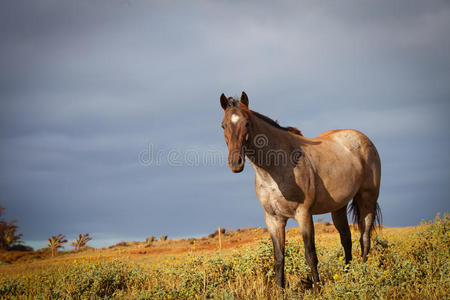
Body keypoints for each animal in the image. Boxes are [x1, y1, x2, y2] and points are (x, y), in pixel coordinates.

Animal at [220, 92, 382, 288]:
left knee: (364, 239)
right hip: (338, 208)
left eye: (246, 123)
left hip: (367, 200)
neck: (275, 168)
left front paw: (318, 288)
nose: (235, 163)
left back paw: (363, 276)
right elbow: (279, 258)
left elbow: (310, 255)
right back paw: (348, 277)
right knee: (346, 239)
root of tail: (363, 139)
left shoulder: (304, 214)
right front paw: (280, 290)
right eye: (223, 125)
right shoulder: (274, 219)